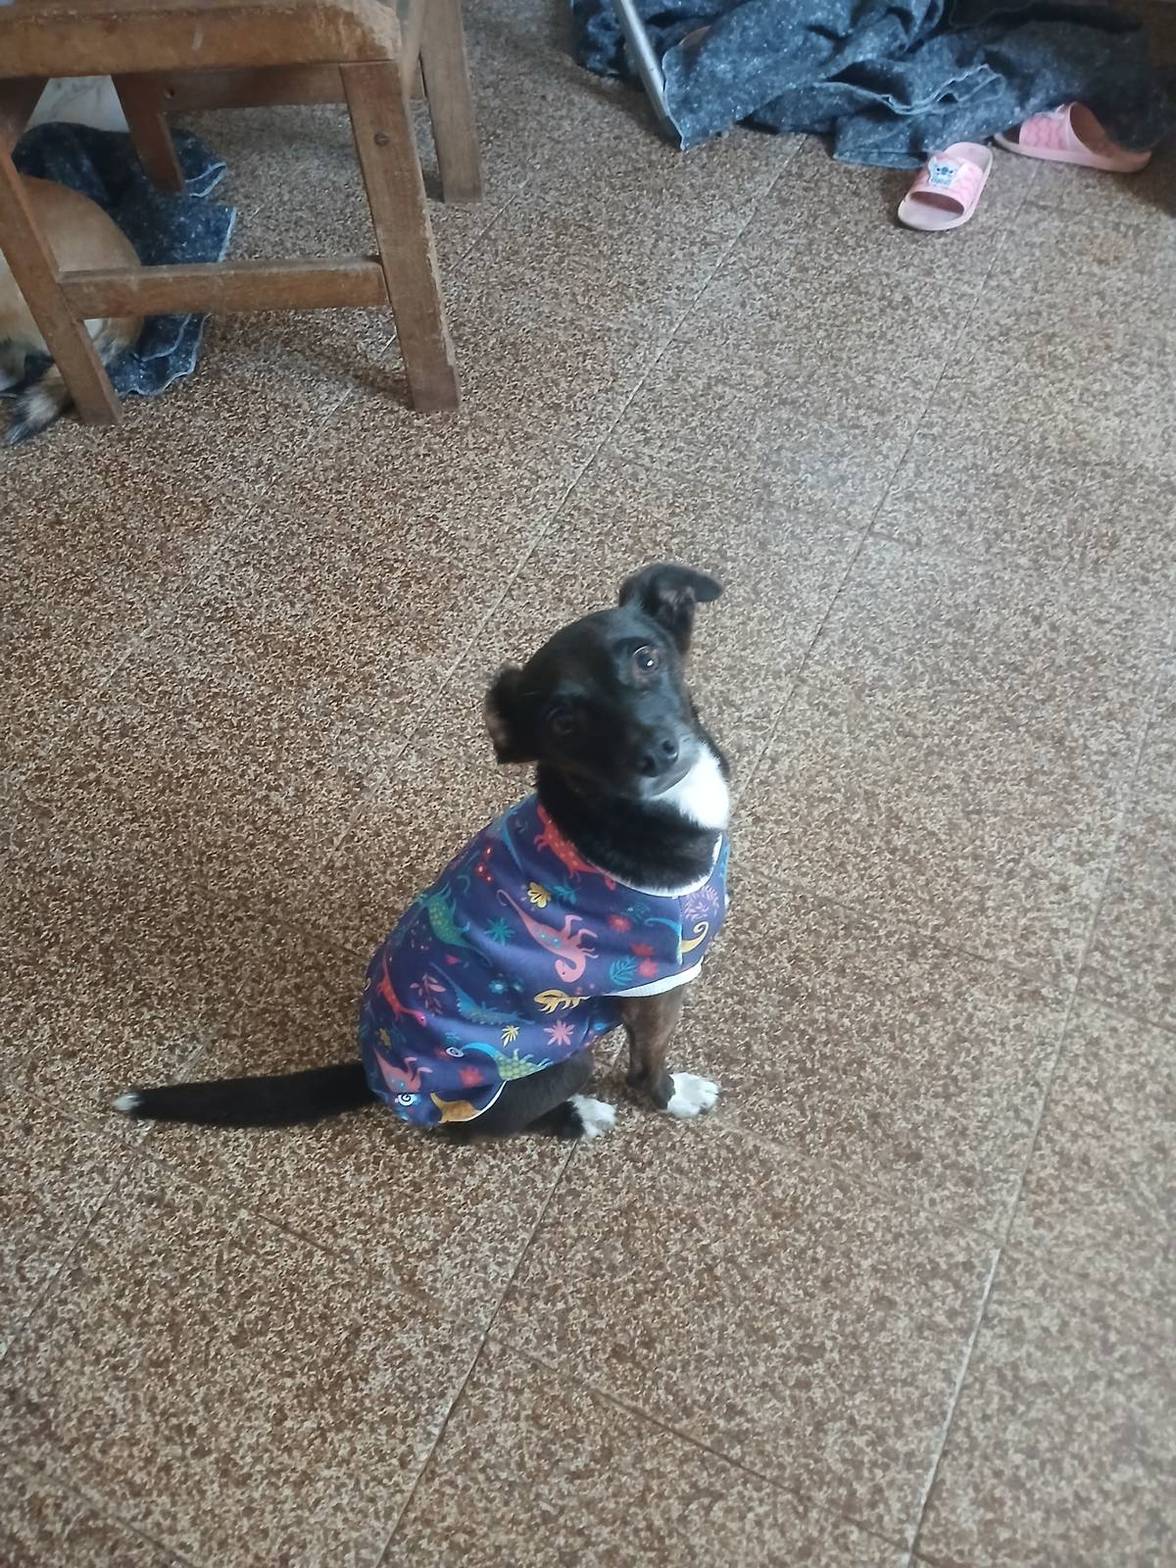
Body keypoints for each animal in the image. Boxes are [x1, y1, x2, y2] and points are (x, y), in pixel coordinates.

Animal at [114, 563, 731, 1142]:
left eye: (646, 658)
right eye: (563, 723)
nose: (656, 751)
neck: (619, 817)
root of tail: (375, 1077)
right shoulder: (655, 988)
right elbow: (646, 1065)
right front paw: (672, 1097)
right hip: (560, 1062)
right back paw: (579, 1116)